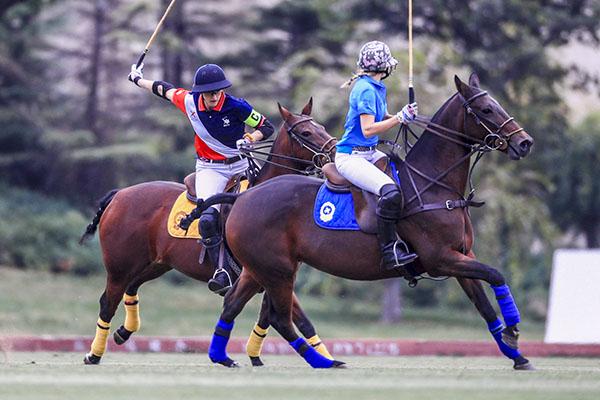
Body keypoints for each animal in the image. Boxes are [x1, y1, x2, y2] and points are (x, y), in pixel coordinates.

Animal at [79, 100, 338, 366]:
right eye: (306, 133)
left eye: (322, 127)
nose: (335, 152)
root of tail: (119, 194)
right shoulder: (267, 273)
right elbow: (287, 317)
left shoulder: (273, 275)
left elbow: (297, 320)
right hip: (119, 265)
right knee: (108, 302)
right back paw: (94, 354)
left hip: (157, 262)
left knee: (132, 287)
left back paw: (123, 332)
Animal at [200, 74, 536, 368]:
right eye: (486, 109)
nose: (525, 143)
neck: (434, 185)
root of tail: (242, 197)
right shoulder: (441, 258)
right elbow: (496, 274)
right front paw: (514, 331)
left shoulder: (462, 255)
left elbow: (485, 306)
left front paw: (516, 354)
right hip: (277, 270)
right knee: (280, 317)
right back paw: (323, 362)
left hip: (260, 268)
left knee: (234, 304)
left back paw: (222, 356)